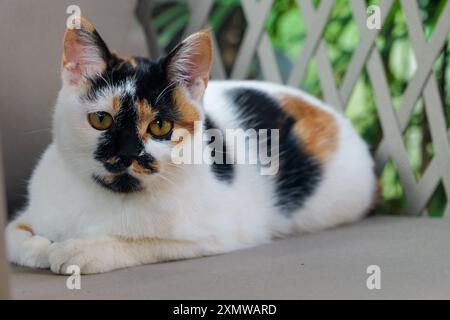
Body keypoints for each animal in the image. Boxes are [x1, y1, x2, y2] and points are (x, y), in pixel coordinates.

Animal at [5, 16, 376, 272]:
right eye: (101, 119)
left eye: (160, 126)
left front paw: (79, 249)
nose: (127, 154)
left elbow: (142, 242)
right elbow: (13, 237)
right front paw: (42, 247)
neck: (109, 197)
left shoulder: (219, 233)